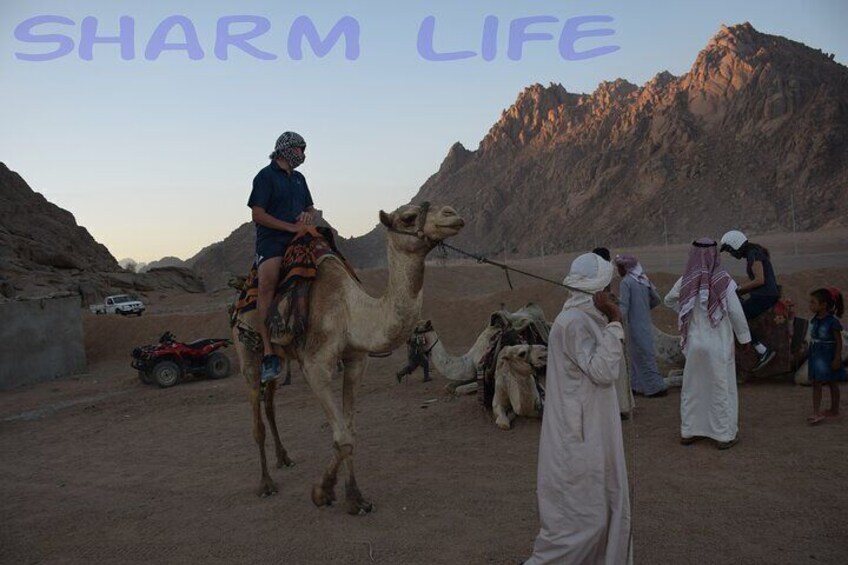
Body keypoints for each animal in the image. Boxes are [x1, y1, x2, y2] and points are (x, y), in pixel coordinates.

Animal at [232, 203, 464, 516]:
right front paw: (322, 492)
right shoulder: (316, 366)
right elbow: (341, 437)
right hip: (245, 351)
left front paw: (355, 498)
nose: (453, 214)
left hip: (279, 358)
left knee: (270, 405)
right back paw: (266, 484)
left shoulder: (356, 360)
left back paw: (285, 458)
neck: (350, 313)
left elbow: (350, 431)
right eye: (407, 217)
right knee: (256, 421)